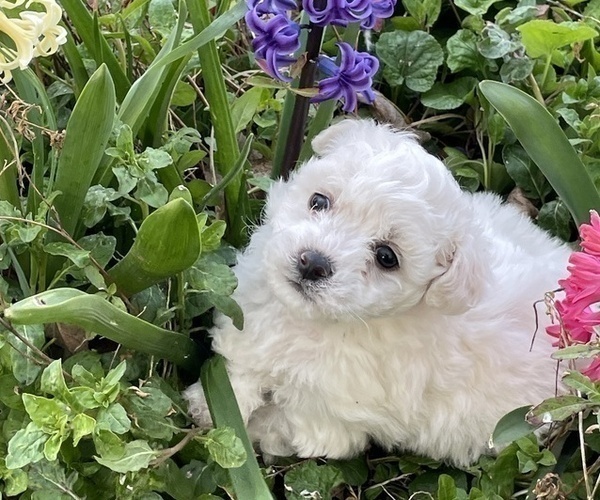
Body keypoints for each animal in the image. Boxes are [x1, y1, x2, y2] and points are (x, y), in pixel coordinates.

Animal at [185, 119, 576, 466]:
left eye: (387, 257)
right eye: (319, 201)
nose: (313, 262)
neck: (318, 322)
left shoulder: (325, 412)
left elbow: (278, 424)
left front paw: (235, 431)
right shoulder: (252, 323)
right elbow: (242, 368)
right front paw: (207, 406)